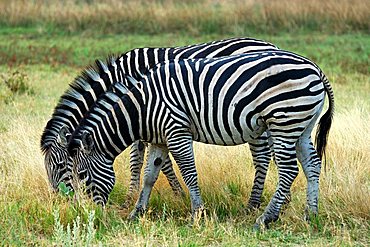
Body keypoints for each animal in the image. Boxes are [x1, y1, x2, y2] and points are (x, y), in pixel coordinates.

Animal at [39, 37, 278, 205]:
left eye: (59, 166)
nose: (59, 201)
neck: (119, 77)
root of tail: (270, 45)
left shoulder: (142, 114)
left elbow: (141, 162)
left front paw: (136, 199)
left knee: (265, 155)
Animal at [67, 49, 336, 228]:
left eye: (81, 174)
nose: (90, 213)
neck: (142, 108)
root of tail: (315, 68)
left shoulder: (176, 131)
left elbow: (189, 173)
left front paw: (197, 214)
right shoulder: (159, 140)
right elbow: (150, 175)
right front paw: (137, 213)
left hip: (284, 121)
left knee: (289, 169)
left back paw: (265, 218)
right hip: (301, 125)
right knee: (312, 164)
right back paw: (310, 214)